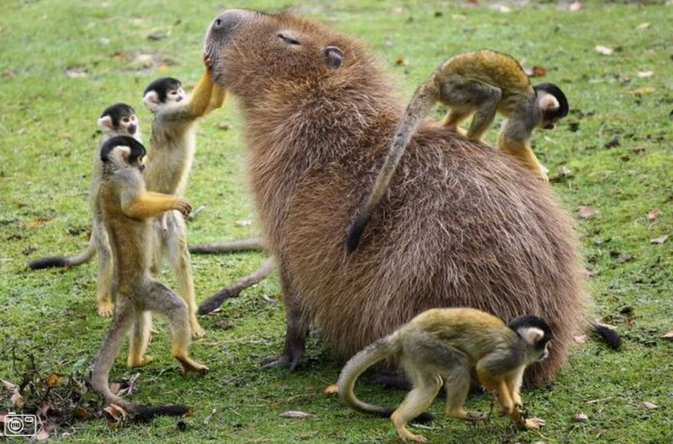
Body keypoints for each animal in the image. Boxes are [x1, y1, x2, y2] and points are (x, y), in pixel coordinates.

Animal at [29, 103, 142, 317]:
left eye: (132, 118)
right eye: (125, 120)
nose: (133, 123)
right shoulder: (106, 147)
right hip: (99, 224)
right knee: (106, 251)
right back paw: (104, 301)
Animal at [91, 135, 207, 418]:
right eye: (140, 157)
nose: (143, 166)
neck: (111, 172)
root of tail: (123, 290)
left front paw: (170, 196)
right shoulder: (128, 177)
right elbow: (134, 205)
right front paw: (174, 202)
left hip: (138, 301)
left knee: (141, 321)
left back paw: (136, 360)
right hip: (148, 290)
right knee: (176, 306)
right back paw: (181, 355)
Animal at [337, 308, 550, 442]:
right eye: (546, 343)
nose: (547, 353)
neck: (521, 341)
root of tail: (403, 332)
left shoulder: (519, 362)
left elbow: (513, 392)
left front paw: (525, 422)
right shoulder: (513, 353)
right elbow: (484, 368)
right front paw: (507, 407)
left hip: (415, 351)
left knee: (430, 385)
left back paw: (398, 420)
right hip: (424, 343)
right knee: (459, 364)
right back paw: (455, 411)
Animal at [346, 50, 569, 254]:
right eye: (553, 118)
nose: (552, 127)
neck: (534, 98)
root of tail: (437, 78)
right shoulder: (527, 113)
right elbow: (510, 140)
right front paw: (539, 174)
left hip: (453, 94)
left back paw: (451, 127)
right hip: (456, 88)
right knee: (492, 95)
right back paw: (473, 138)